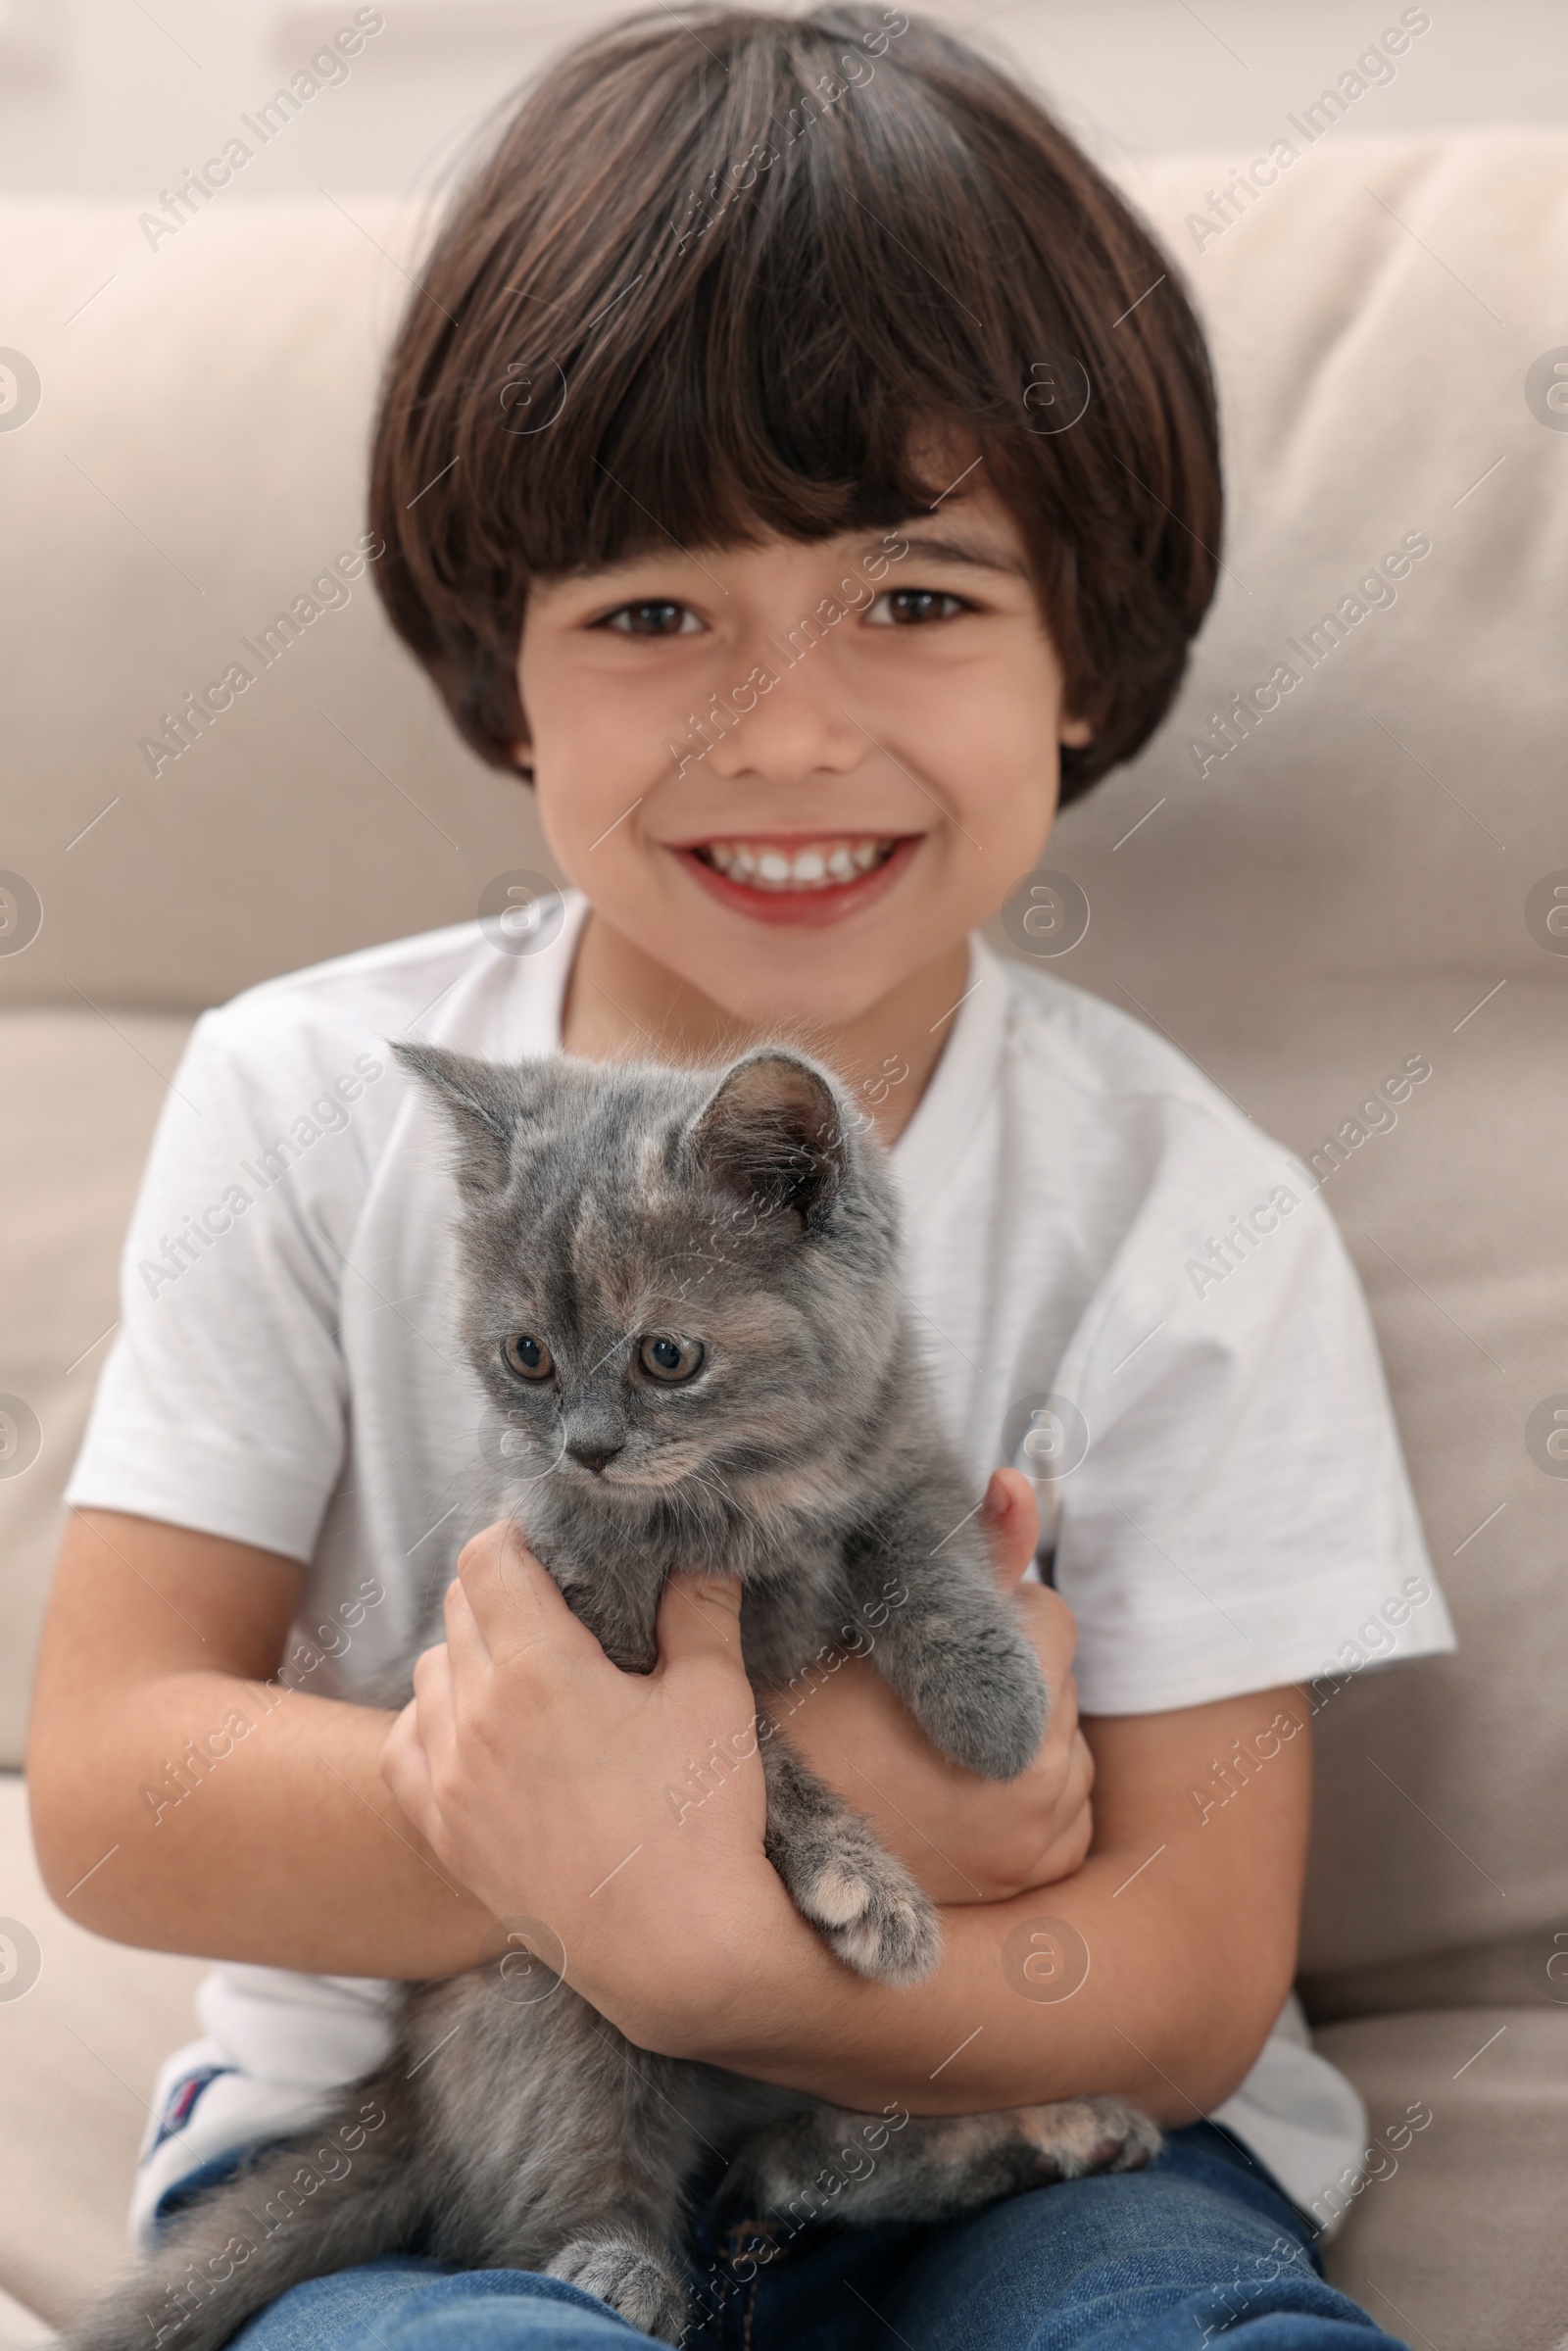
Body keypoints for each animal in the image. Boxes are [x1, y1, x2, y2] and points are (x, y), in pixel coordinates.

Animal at [67, 1044, 1161, 2351]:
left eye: (665, 1356)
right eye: (527, 1355)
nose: (585, 1448)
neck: (742, 1489)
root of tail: (402, 2080)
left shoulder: (899, 1443)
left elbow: (926, 1544)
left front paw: (991, 1696)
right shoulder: (578, 1614)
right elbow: (741, 1741)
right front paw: (868, 1881)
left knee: (777, 2161)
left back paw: (1030, 2132)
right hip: (550, 1988)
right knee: (568, 2168)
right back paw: (618, 2258)